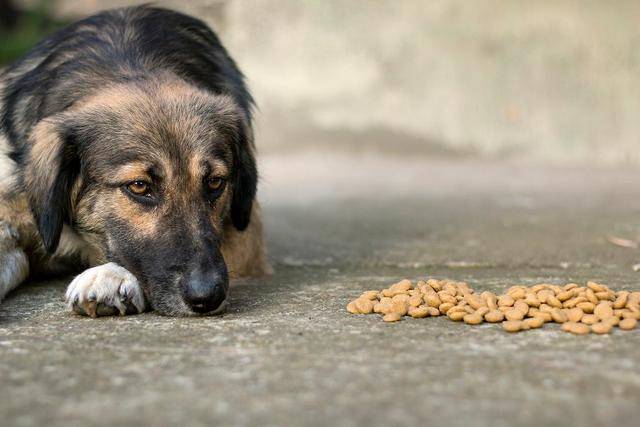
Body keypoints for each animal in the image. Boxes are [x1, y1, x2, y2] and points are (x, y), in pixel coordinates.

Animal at [0, 5, 268, 316]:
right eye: (139, 186)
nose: (207, 296)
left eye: (215, 183)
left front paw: (111, 274)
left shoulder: (248, 235)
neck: (128, 64)